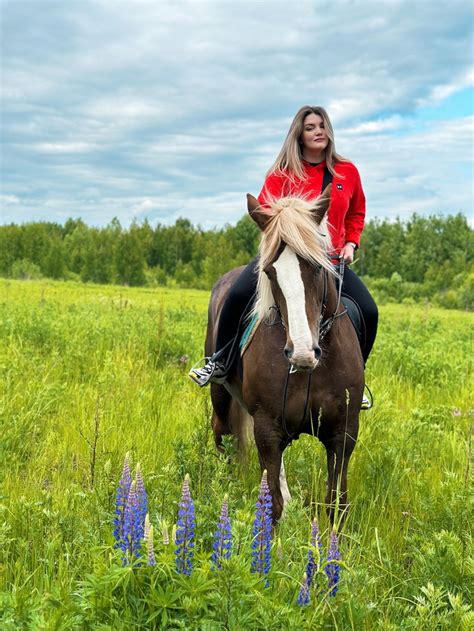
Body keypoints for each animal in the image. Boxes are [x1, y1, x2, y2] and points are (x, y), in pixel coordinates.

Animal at [206, 186, 364, 524]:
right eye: (269, 272)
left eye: (317, 266)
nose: (302, 352)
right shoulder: (267, 428)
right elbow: (272, 507)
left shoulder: (343, 434)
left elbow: (336, 503)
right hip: (221, 396)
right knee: (222, 432)